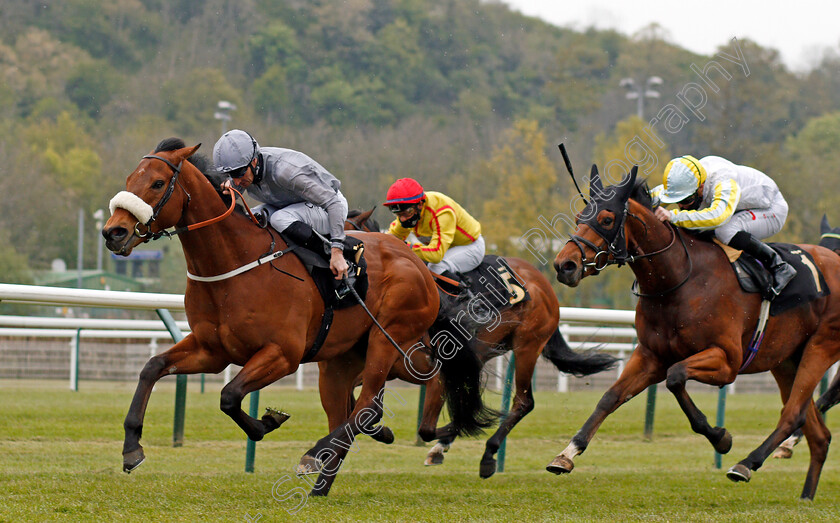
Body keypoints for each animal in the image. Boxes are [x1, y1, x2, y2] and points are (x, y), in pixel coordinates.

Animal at [99, 137, 492, 498]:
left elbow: (229, 395)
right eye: (130, 178)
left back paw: (316, 453)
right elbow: (152, 367)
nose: (113, 232)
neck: (233, 265)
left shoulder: (283, 354)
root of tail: (423, 269)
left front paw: (266, 422)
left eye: (157, 183)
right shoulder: (212, 350)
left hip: (390, 340)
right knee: (361, 408)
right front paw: (132, 448)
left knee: (368, 406)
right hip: (343, 362)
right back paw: (321, 484)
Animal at [548, 166, 840, 502]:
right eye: (579, 217)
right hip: (786, 360)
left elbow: (675, 377)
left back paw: (746, 464)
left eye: (607, 219)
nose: (564, 265)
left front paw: (720, 437)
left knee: (793, 414)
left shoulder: (727, 361)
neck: (678, 280)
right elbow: (610, 397)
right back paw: (805, 496)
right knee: (816, 431)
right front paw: (567, 453)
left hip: (821, 347)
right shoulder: (650, 355)